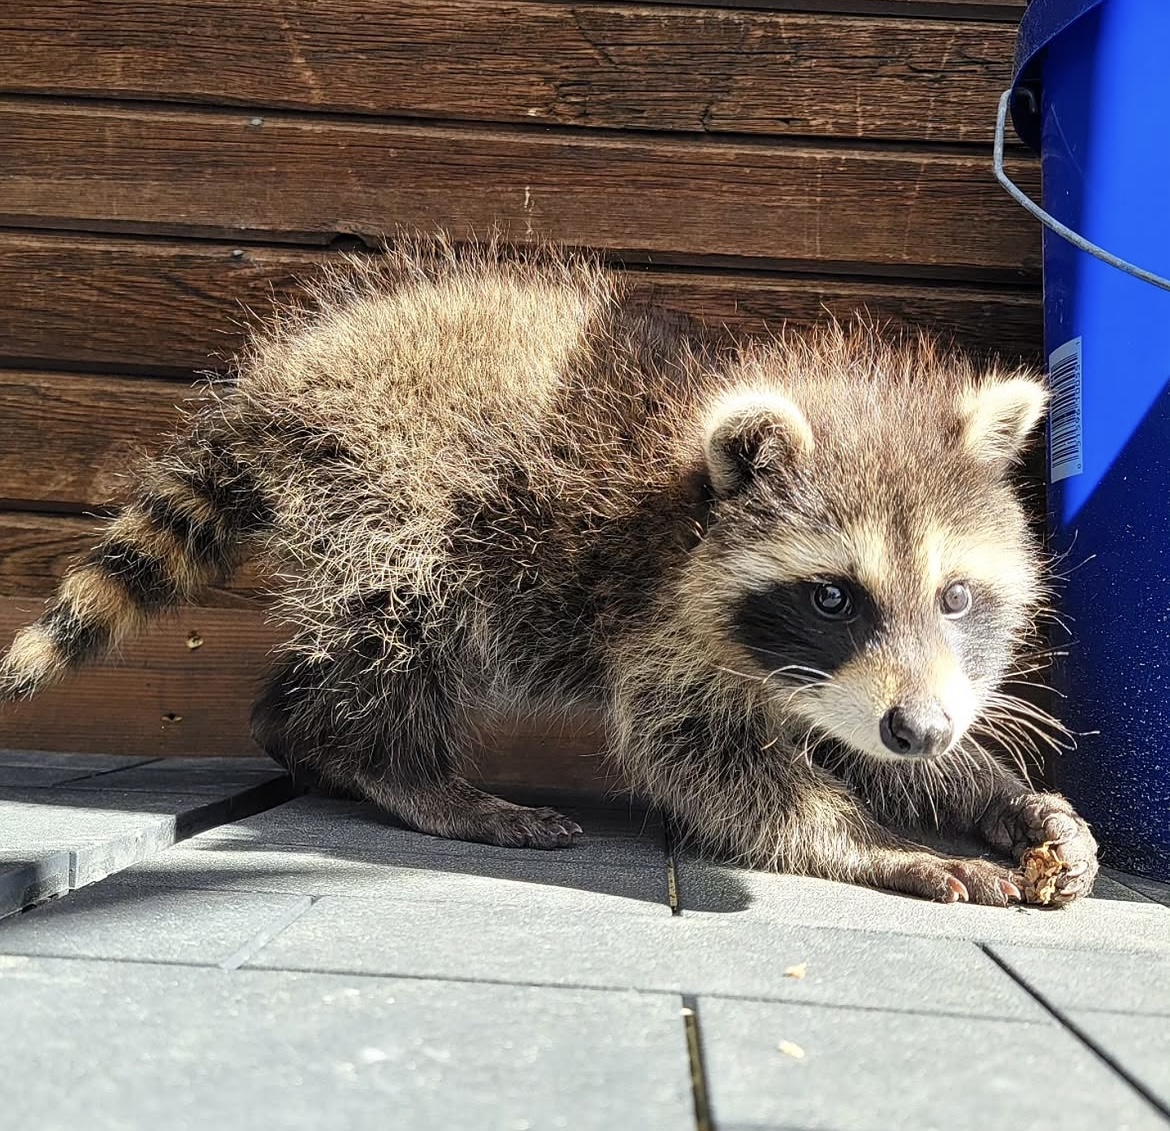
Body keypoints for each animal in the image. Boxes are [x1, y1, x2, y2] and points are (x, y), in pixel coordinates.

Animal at [0, 239, 1098, 905]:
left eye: (956, 597)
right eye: (834, 596)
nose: (923, 728)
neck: (694, 498)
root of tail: (276, 381)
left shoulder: (828, 680)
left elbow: (850, 739)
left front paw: (1004, 797)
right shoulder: (664, 621)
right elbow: (703, 761)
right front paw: (876, 844)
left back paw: (299, 725)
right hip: (384, 481)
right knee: (407, 620)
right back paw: (399, 769)